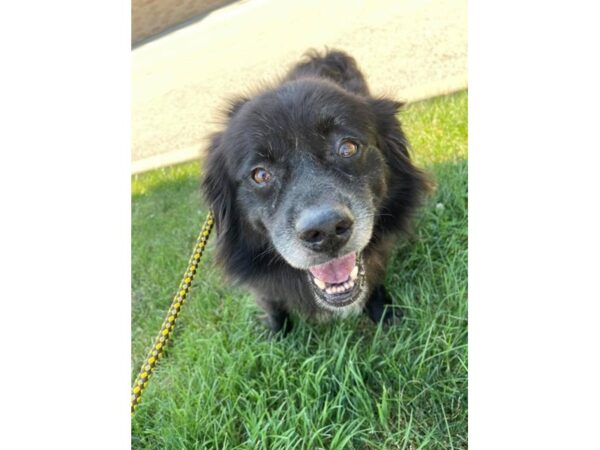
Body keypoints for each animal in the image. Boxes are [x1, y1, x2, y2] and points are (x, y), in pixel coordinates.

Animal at [204, 51, 428, 336]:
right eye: (260, 175)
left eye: (347, 147)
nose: (326, 230)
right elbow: (271, 301)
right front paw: (276, 332)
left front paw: (385, 313)